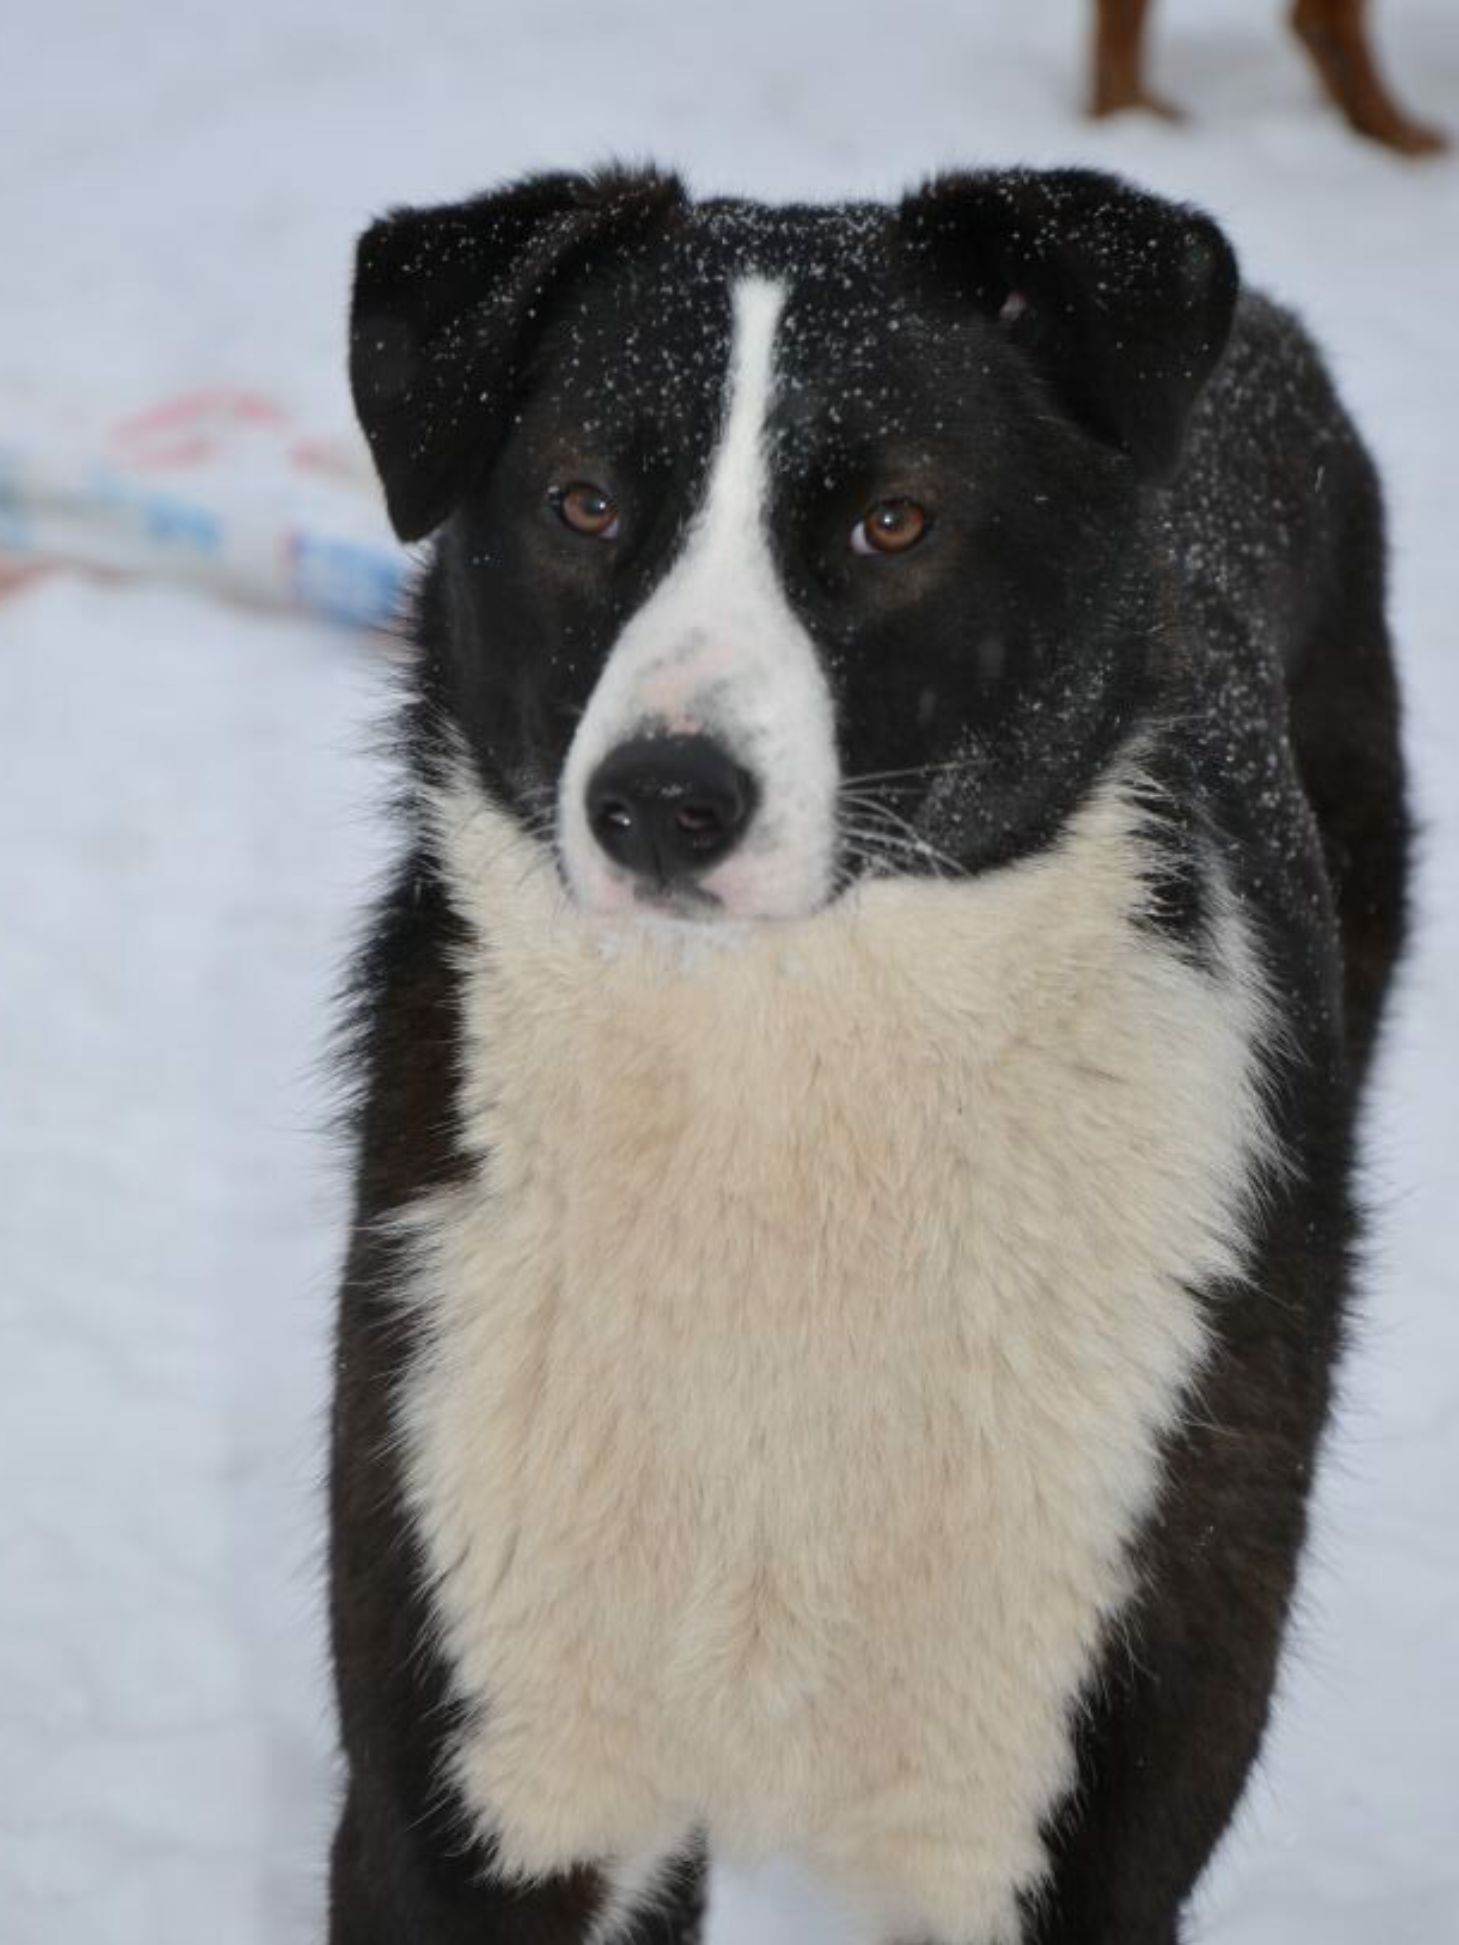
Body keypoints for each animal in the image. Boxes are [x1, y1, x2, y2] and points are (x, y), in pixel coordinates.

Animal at [328, 167, 1408, 1945]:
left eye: (891, 523)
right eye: (579, 504)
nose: (661, 802)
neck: (778, 1083)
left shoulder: (1065, 1824)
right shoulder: (474, 1783)